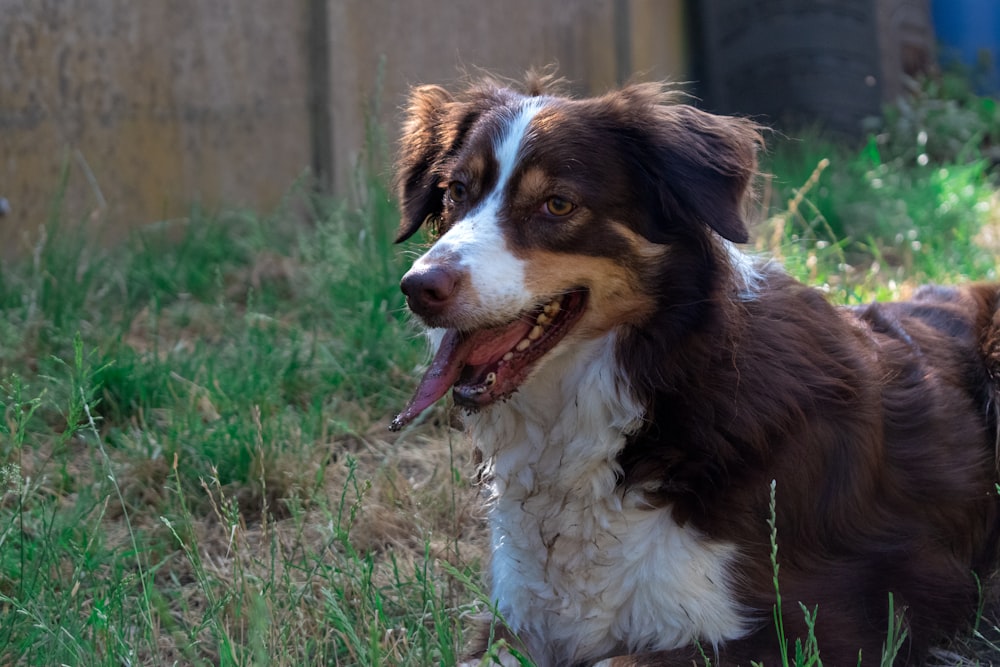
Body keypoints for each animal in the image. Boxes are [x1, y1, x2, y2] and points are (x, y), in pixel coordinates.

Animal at [386, 74, 1000, 667]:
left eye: (557, 205)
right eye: (456, 192)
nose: (418, 288)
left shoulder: (833, 621)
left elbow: (616, 662)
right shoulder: (515, 620)